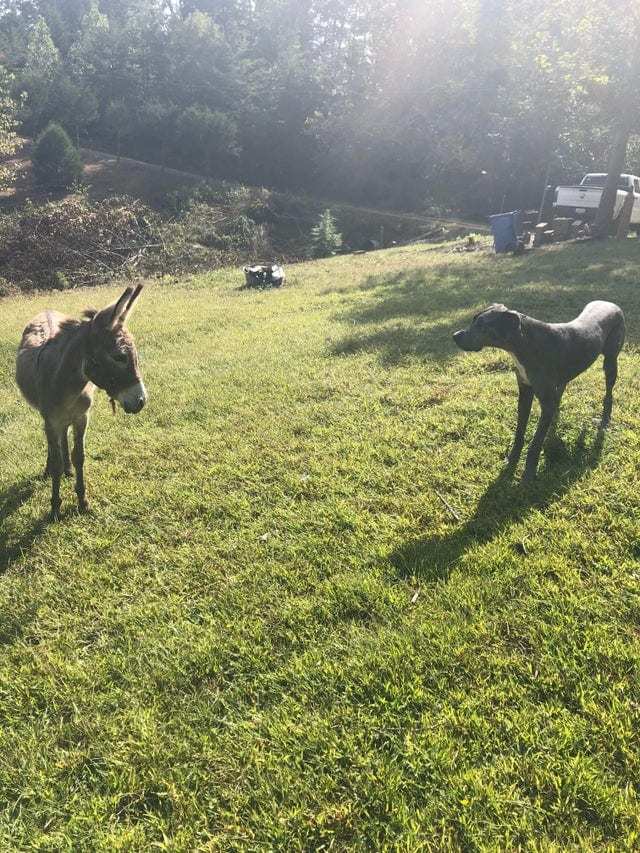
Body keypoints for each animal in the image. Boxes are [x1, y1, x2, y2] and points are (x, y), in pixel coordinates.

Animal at [456, 302, 624, 480]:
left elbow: (536, 441)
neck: (525, 341)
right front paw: (513, 458)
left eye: (482, 325)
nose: (455, 335)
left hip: (610, 362)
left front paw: (529, 471)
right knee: (560, 391)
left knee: (608, 392)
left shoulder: (544, 401)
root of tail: (612, 304)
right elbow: (520, 431)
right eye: (473, 320)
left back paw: (605, 419)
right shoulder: (524, 394)